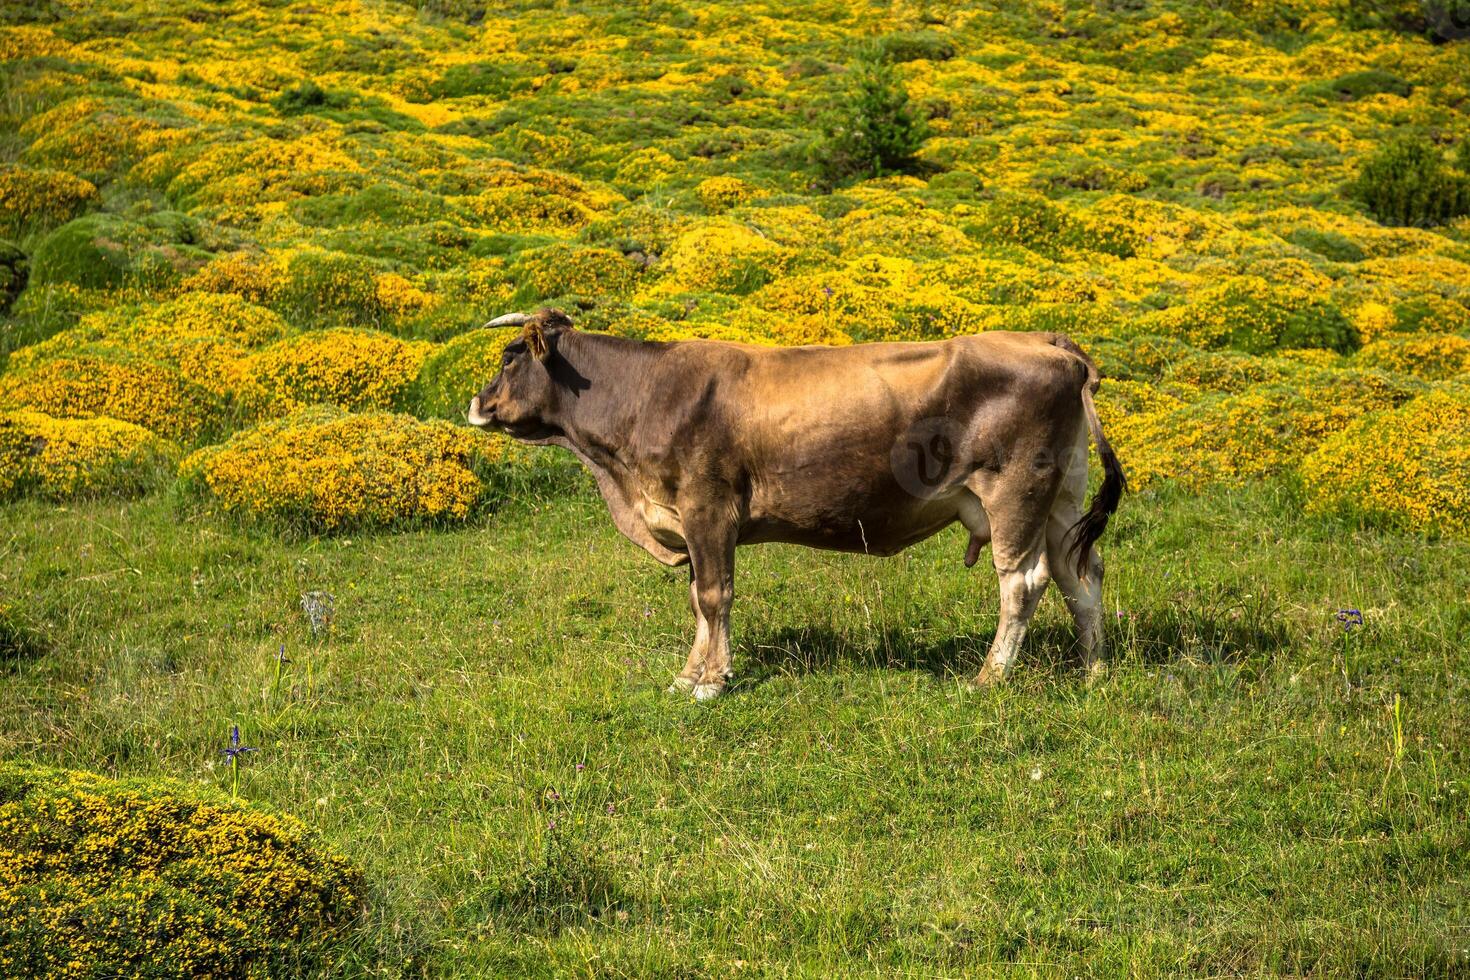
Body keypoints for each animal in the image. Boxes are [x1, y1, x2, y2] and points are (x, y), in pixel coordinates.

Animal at [470, 310, 1123, 702]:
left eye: (508, 356)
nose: (475, 403)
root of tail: (1047, 340)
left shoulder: (708, 508)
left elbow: (714, 596)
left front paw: (712, 682)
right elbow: (698, 600)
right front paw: (688, 675)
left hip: (1015, 492)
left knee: (1024, 582)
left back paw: (988, 678)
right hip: (1061, 494)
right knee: (1081, 573)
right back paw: (1093, 670)